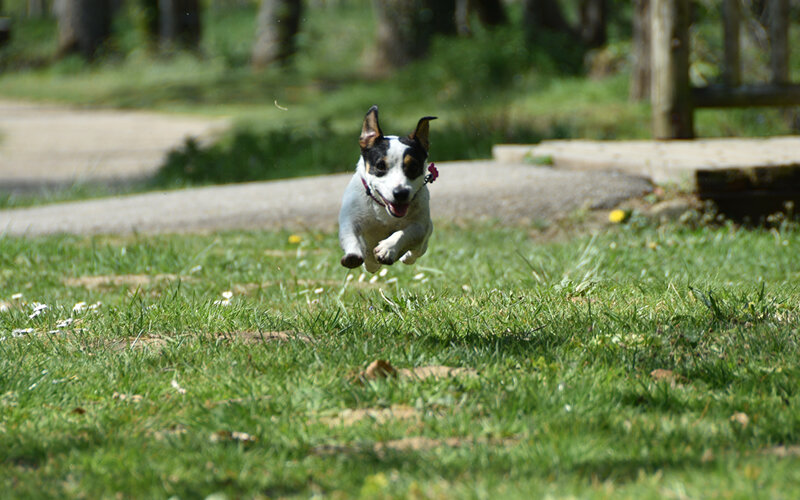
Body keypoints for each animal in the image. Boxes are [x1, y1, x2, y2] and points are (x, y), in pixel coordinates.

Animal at [338, 106, 438, 276]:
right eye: (380, 166)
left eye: (414, 167)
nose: (400, 193)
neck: (383, 209)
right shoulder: (349, 219)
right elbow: (350, 234)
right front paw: (353, 255)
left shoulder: (420, 225)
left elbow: (407, 232)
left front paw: (388, 248)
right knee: (370, 262)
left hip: (425, 236)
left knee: (417, 250)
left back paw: (406, 256)